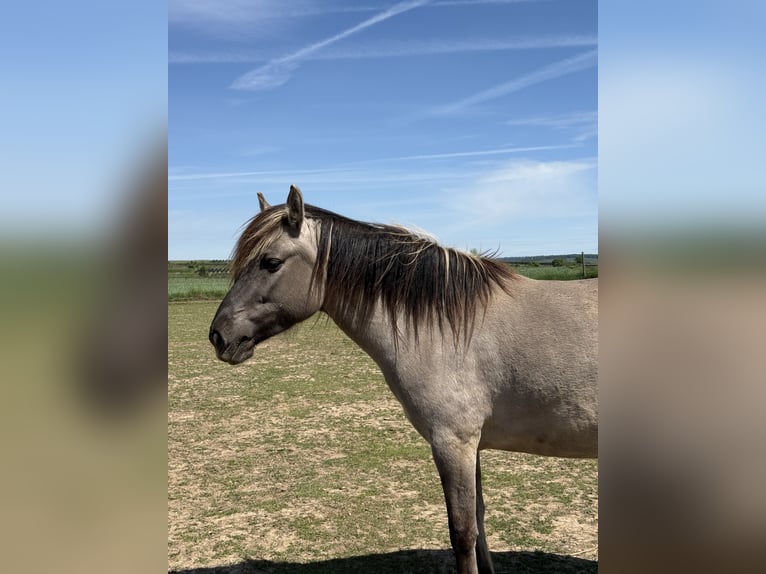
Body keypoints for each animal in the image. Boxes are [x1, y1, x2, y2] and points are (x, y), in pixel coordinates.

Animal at [209, 185, 598, 574]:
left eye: (271, 262)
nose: (218, 336)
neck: (447, 329)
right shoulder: (471, 445)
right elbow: (480, 521)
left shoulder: (453, 443)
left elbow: (463, 532)